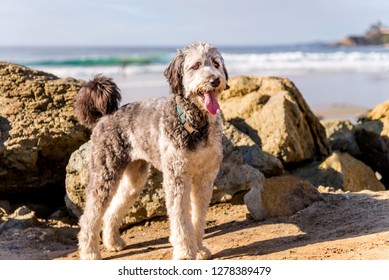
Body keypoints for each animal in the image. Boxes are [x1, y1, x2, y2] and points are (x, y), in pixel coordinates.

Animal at [74, 42, 229, 260]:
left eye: (215, 64)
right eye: (196, 65)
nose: (215, 80)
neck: (195, 123)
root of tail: (104, 116)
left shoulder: (205, 178)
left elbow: (198, 217)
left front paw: (199, 249)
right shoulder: (177, 177)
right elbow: (181, 220)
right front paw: (184, 253)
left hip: (134, 178)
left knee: (112, 209)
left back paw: (113, 242)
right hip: (105, 173)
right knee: (89, 216)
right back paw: (89, 253)